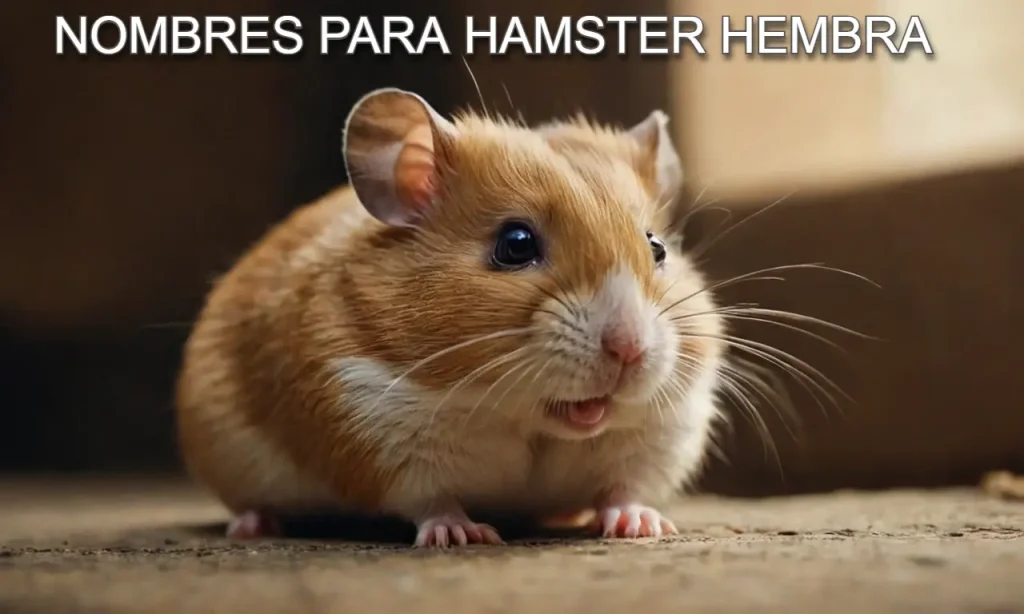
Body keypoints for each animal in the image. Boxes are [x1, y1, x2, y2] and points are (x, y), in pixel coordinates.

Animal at [175, 87, 726, 547]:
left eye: (656, 248)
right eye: (515, 244)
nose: (629, 350)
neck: (526, 420)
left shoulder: (661, 433)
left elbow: (625, 487)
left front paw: (645, 526)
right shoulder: (375, 433)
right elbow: (431, 500)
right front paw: (464, 536)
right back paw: (253, 527)